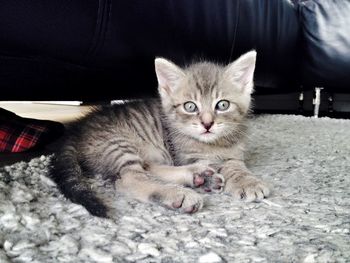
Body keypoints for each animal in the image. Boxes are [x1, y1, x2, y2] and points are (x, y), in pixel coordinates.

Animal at [50, 51, 270, 219]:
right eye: (190, 107)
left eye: (222, 104)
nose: (207, 124)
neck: (214, 143)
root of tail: (78, 128)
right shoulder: (186, 154)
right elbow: (220, 164)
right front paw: (246, 183)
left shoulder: (234, 154)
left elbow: (235, 165)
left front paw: (246, 180)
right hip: (118, 144)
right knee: (129, 179)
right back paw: (179, 194)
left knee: (149, 167)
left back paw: (198, 177)